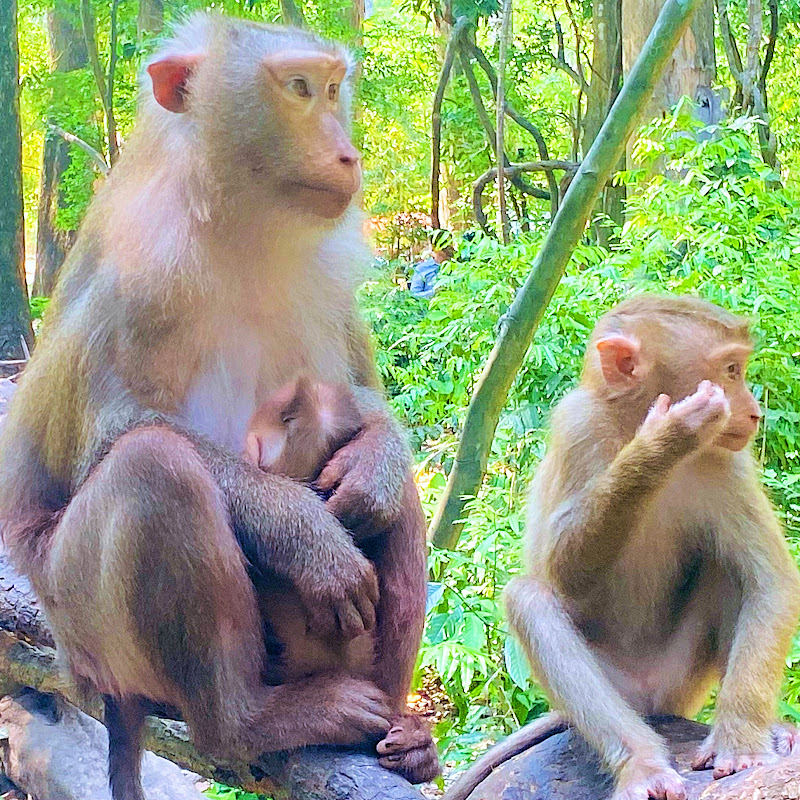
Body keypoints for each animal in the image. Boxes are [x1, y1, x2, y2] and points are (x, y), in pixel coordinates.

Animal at [0, 14, 437, 800]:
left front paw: (377, 462)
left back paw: (400, 732)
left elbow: (363, 405)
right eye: (298, 89)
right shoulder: (139, 266)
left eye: (334, 88)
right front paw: (303, 532)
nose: (347, 152)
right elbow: (115, 432)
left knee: (388, 502)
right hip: (82, 623)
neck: (241, 229)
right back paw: (245, 721)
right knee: (155, 469)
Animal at [447, 295, 800, 800]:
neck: (628, 419)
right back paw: (643, 766)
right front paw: (663, 442)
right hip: (618, 690)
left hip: (681, 678)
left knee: (726, 567)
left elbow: (769, 580)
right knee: (528, 598)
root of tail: (650, 699)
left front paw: (742, 743)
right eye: (731, 370)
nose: (753, 412)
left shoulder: (729, 459)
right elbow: (560, 573)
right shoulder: (577, 426)